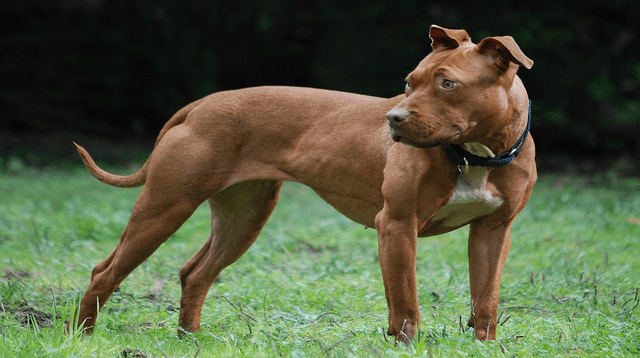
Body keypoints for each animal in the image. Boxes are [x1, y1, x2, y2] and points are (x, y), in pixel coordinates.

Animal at [72, 25, 536, 342]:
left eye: (448, 83)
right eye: (409, 83)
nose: (394, 119)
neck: (476, 153)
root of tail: (200, 105)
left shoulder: (494, 232)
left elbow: (486, 300)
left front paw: (484, 346)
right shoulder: (398, 225)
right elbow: (406, 306)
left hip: (242, 219)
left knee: (195, 273)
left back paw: (191, 339)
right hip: (164, 208)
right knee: (105, 272)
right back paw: (82, 336)